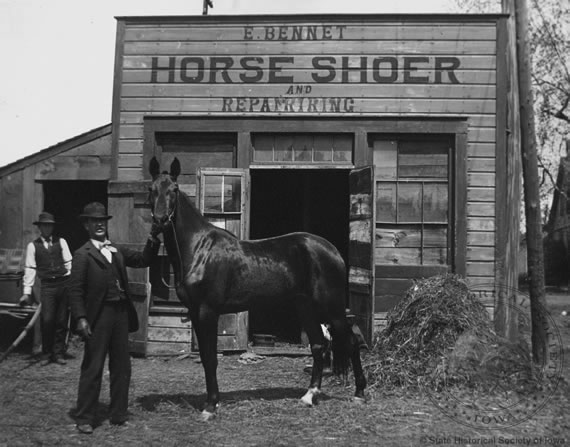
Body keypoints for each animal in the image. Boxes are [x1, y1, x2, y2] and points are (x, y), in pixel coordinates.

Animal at [149, 158, 366, 420]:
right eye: (151, 189)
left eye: (174, 189)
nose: (160, 220)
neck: (199, 249)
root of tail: (333, 251)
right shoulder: (194, 312)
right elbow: (204, 357)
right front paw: (212, 403)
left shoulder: (207, 311)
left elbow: (210, 359)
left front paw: (210, 407)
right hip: (305, 308)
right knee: (318, 345)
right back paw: (309, 396)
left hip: (332, 309)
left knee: (352, 342)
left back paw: (359, 394)